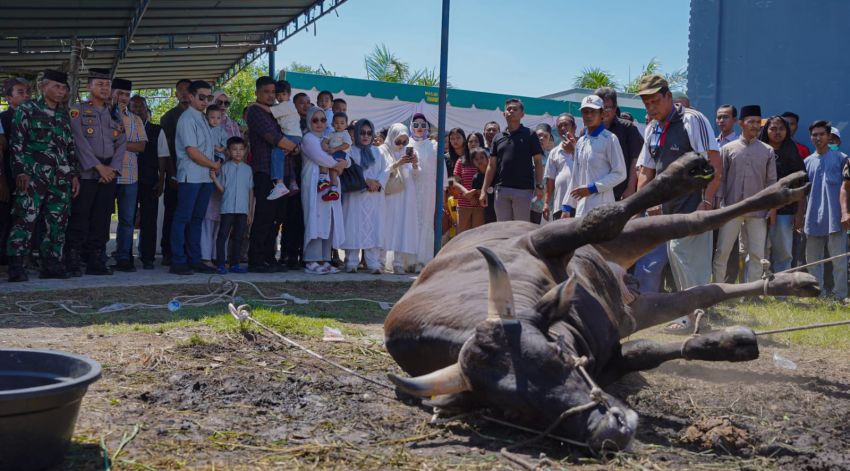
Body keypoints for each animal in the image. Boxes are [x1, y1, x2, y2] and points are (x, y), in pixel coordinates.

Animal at [384, 154, 816, 454]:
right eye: (511, 411)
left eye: (557, 355)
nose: (608, 431)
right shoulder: (608, 358)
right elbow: (646, 352)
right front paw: (733, 343)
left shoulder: (542, 241)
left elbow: (602, 218)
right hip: (637, 308)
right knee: (705, 292)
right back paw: (793, 282)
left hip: (628, 235)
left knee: (692, 220)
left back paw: (758, 184)